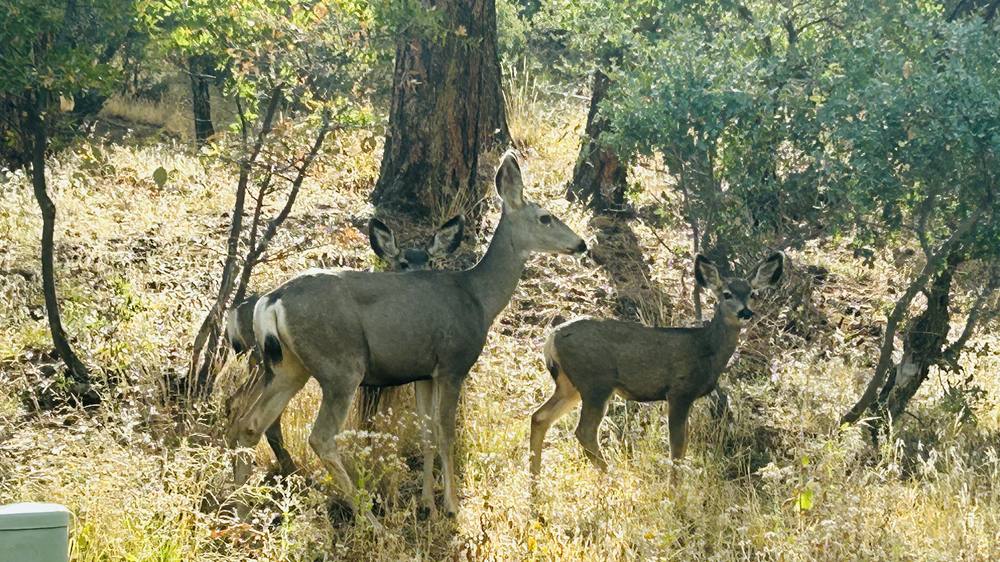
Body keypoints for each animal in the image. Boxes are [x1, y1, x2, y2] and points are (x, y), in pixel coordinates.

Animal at [224, 215, 465, 477]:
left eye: (431, 261)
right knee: (256, 412)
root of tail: (234, 314)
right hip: (268, 362)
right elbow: (368, 423)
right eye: (402, 263)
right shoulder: (372, 382)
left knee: (237, 402)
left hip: (268, 365)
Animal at [529, 251, 784, 477]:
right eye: (727, 294)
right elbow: (677, 447)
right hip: (595, 382)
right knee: (584, 432)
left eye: (753, 293)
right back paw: (610, 478)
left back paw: (535, 482)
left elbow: (682, 446)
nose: (745, 312)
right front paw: (674, 492)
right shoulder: (679, 391)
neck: (706, 350)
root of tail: (551, 338)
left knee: (540, 417)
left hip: (569, 384)